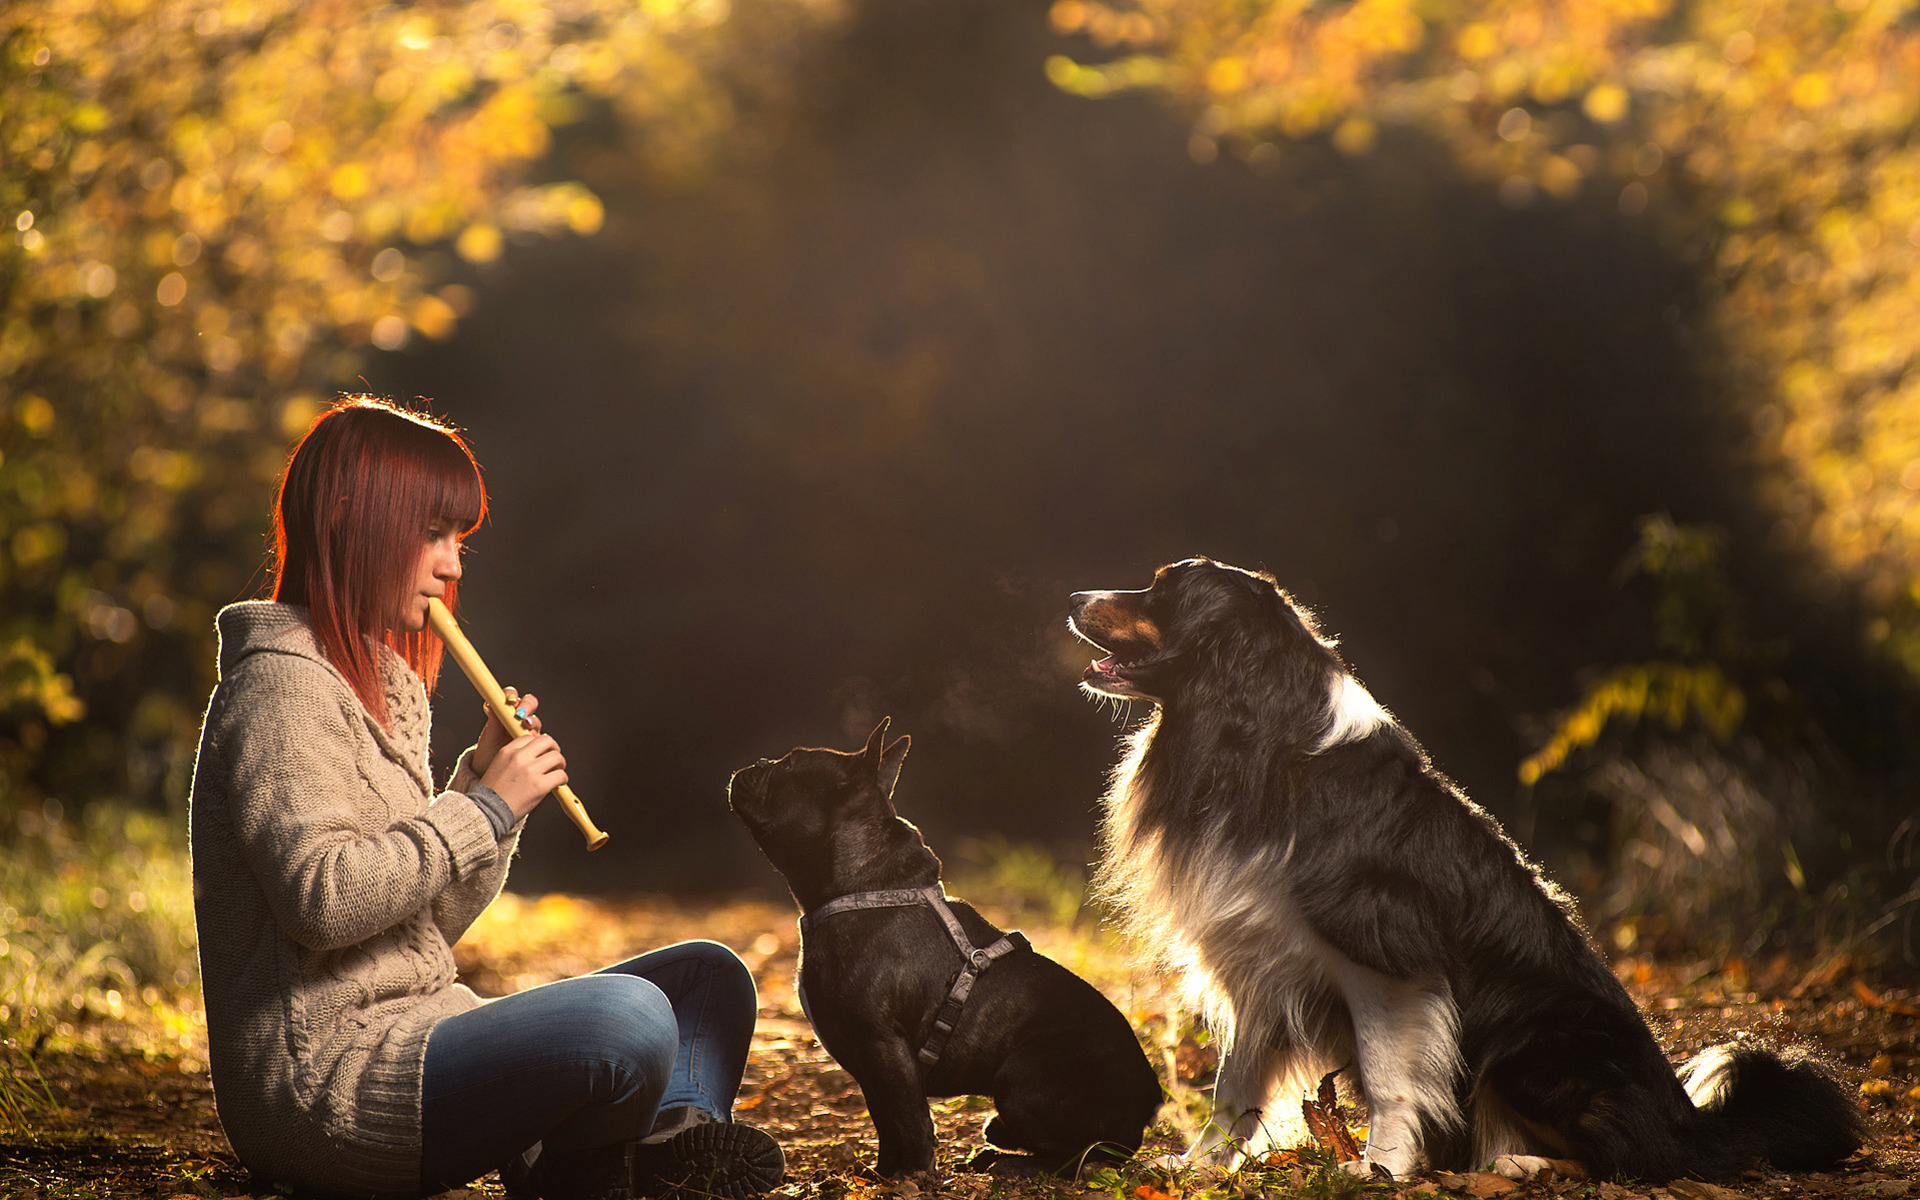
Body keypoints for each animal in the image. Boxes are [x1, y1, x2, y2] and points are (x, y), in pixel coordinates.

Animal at [1067, 560, 1858, 1182]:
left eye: (1163, 590)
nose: (1073, 596)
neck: (1257, 732)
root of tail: (1691, 1123)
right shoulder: (1260, 962)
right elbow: (1233, 1086)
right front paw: (1197, 1168)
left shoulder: (1387, 961)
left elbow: (1389, 1077)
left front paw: (1379, 1169)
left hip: (1535, 1043)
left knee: (1629, 1157)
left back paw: (1523, 1164)